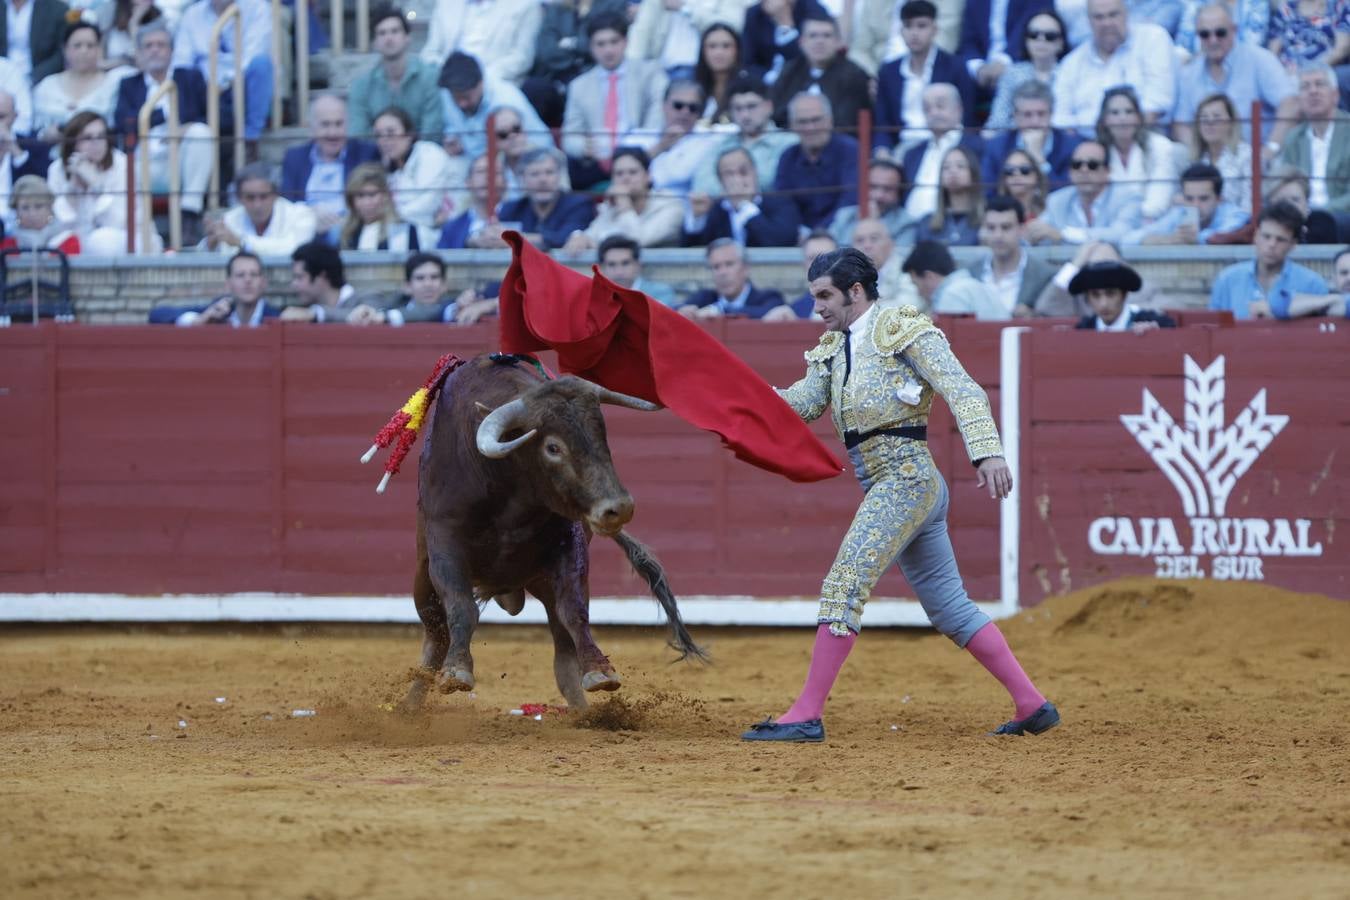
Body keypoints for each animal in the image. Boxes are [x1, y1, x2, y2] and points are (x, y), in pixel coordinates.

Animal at [402, 350, 707, 712]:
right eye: (552, 447)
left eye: (602, 435)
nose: (618, 507)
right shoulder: (446, 548)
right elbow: (462, 607)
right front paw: (457, 671)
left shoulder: (567, 547)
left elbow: (574, 612)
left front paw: (600, 670)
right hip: (423, 579)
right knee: (435, 636)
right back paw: (411, 706)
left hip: (542, 581)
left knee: (563, 649)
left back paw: (583, 713)